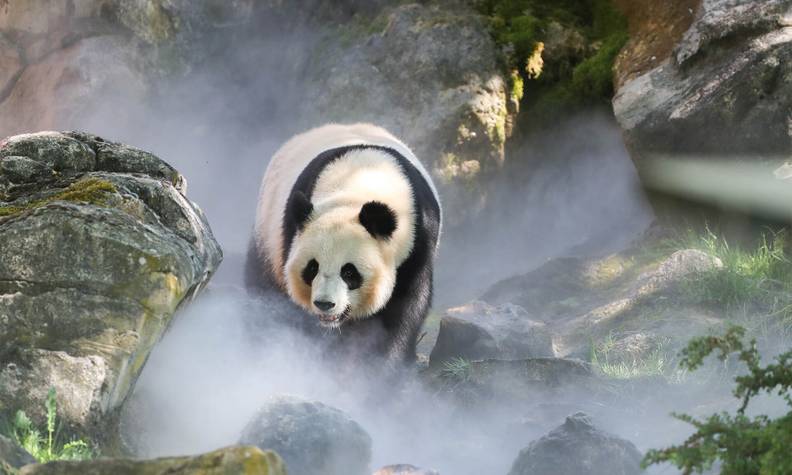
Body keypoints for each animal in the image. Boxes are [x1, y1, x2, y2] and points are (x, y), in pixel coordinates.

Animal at [248, 123, 442, 364]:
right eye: (312, 268)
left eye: (349, 272)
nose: (324, 304)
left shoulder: (417, 243)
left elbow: (405, 308)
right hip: (267, 234)